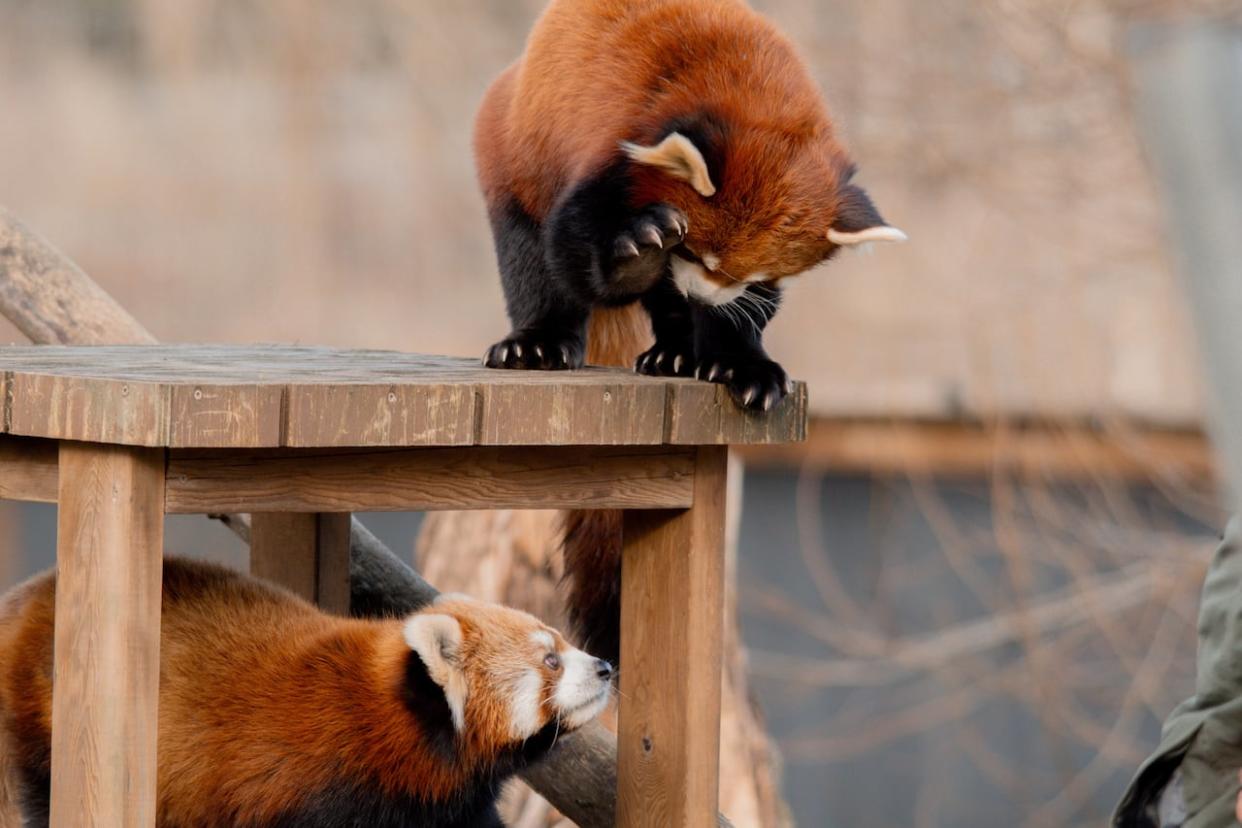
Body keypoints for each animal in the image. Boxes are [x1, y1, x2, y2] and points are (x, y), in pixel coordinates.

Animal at [0, 556, 613, 828]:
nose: (605, 667)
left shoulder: (446, 806)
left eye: (563, 640)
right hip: (48, 726)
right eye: (551, 659)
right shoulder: (313, 788)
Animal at [471, 0, 904, 665]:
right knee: (530, 251)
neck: (750, 90)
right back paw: (539, 340)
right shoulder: (608, 140)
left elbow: (746, 316)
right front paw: (635, 258)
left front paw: (740, 364)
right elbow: (574, 247)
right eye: (696, 253)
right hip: (514, 143)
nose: (699, 293)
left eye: (752, 272)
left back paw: (674, 353)